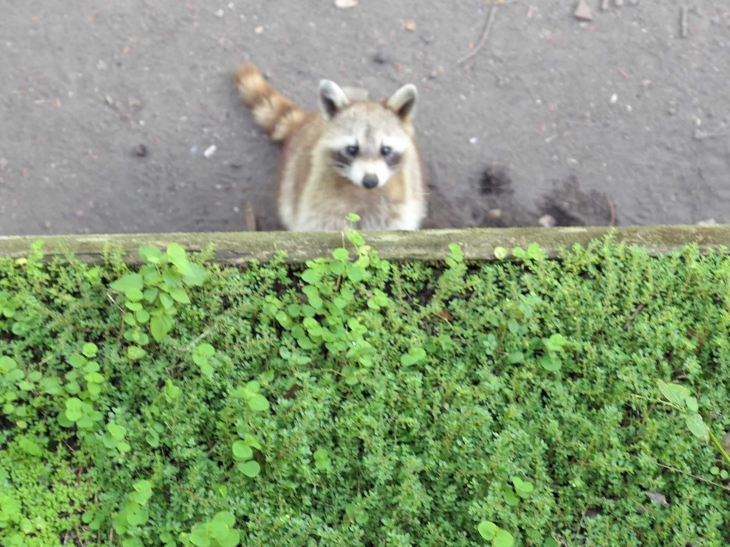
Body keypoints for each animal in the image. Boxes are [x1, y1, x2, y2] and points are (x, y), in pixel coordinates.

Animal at [233, 63, 426, 232]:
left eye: (385, 150)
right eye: (352, 149)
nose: (370, 181)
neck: (361, 190)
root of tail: (310, 117)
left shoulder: (398, 202)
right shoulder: (319, 199)